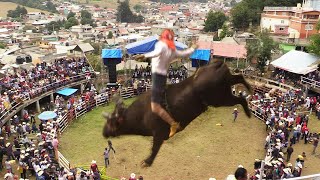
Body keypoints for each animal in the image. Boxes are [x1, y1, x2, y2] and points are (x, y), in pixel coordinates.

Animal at [102, 60, 252, 167]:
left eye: (111, 123)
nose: (104, 132)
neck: (141, 114)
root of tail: (216, 64)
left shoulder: (159, 133)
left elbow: (154, 148)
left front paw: (147, 162)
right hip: (225, 89)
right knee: (239, 77)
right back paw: (249, 89)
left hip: (220, 98)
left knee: (240, 98)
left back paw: (248, 110)